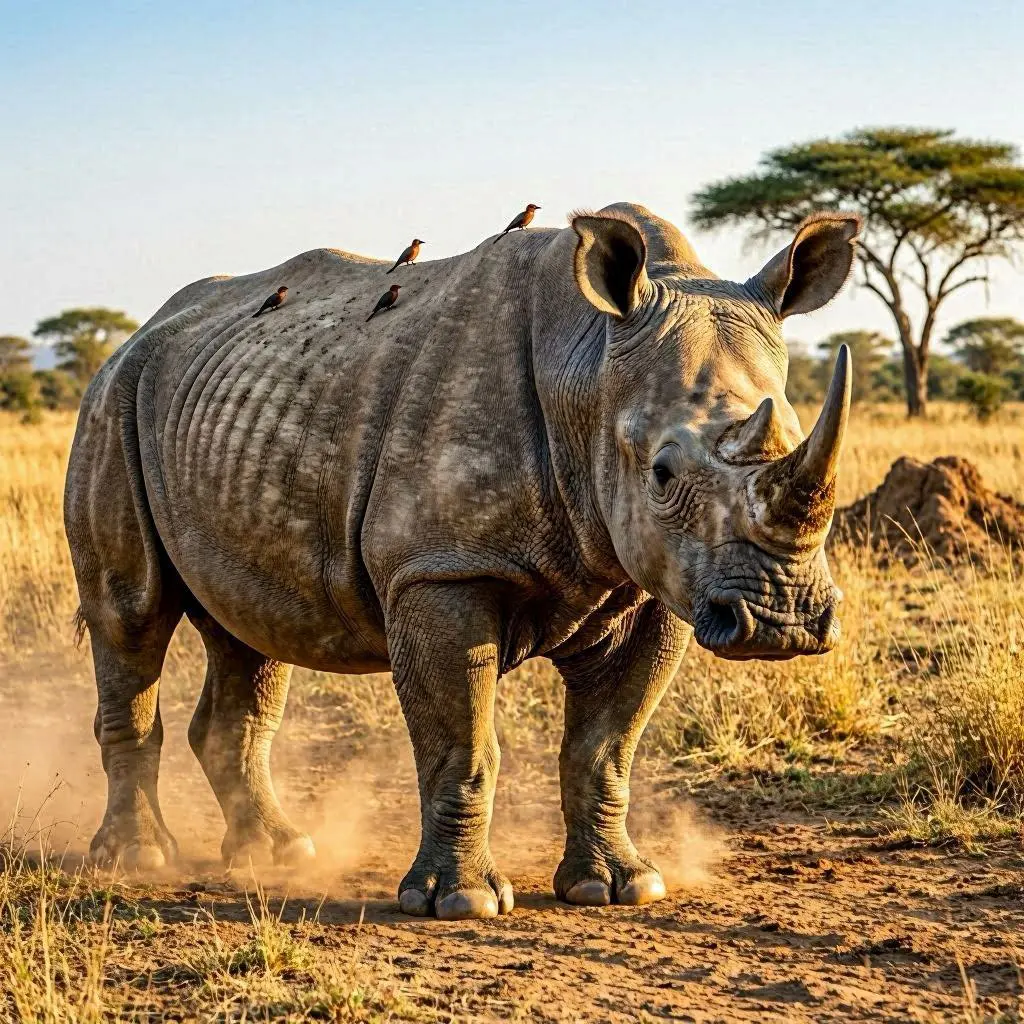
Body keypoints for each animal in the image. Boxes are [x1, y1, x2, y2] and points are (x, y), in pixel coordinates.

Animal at [65, 202, 859, 920]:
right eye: (662, 473)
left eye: (798, 432)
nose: (783, 621)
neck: (591, 369)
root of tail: (135, 336)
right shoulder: (440, 570)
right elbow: (464, 744)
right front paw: (461, 902)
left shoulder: (655, 585)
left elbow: (605, 747)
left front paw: (619, 888)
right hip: (112, 403)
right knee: (131, 614)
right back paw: (138, 859)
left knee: (249, 633)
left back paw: (278, 854)